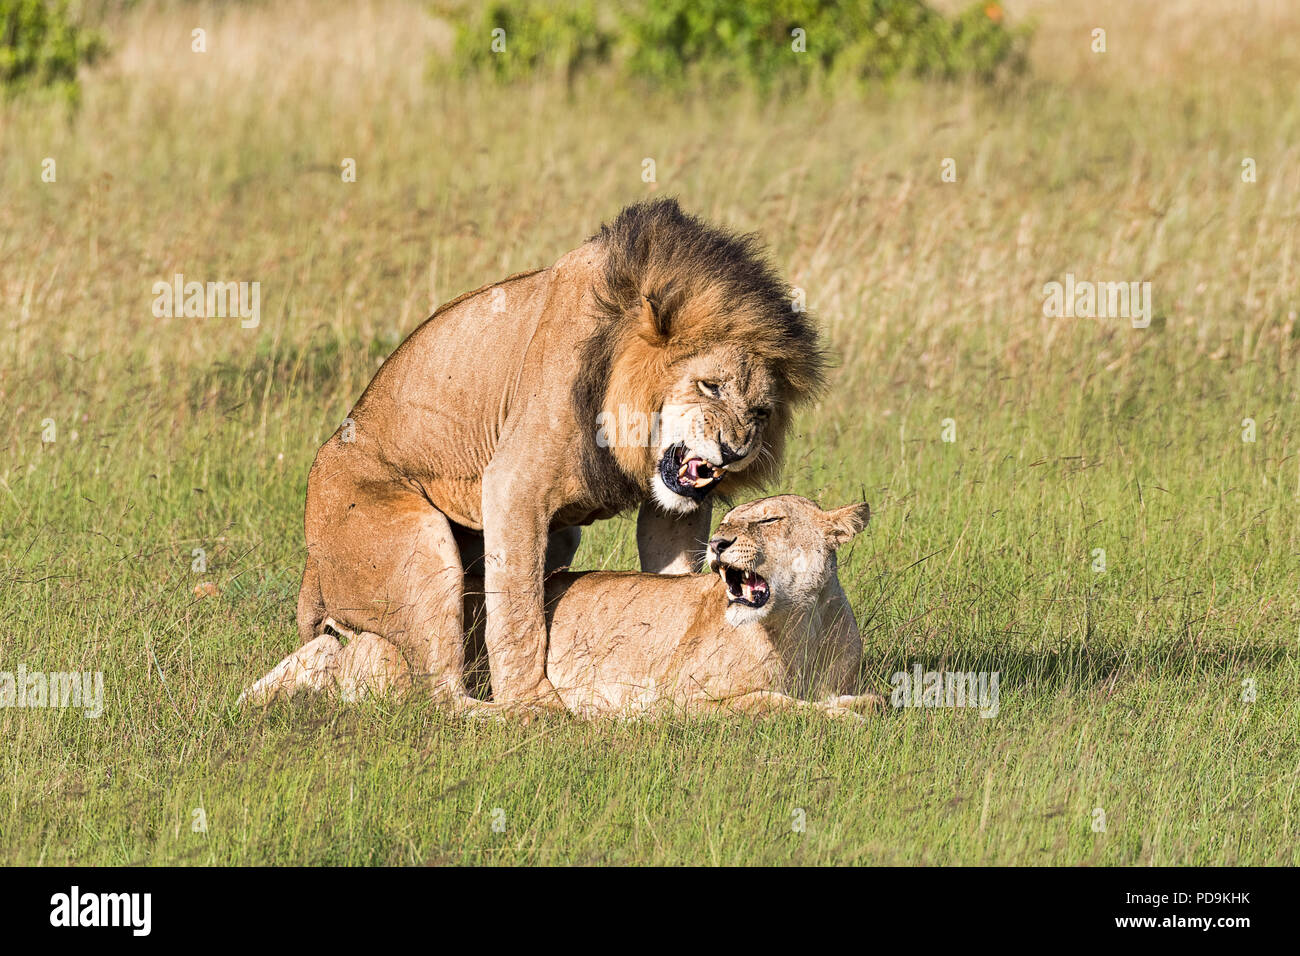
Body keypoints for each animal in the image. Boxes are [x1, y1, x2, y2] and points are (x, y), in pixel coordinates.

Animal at [241, 495, 883, 719]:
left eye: (768, 519)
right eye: (727, 521)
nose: (720, 543)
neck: (799, 624)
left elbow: (872, 700)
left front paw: (853, 707)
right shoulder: (684, 699)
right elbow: (770, 704)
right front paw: (834, 716)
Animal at [295, 198, 826, 709]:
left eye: (760, 413)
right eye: (709, 386)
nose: (733, 451)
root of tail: (311, 577)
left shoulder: (675, 510)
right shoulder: (512, 486)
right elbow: (519, 614)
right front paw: (533, 697)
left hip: (558, 536)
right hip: (420, 545)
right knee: (442, 695)